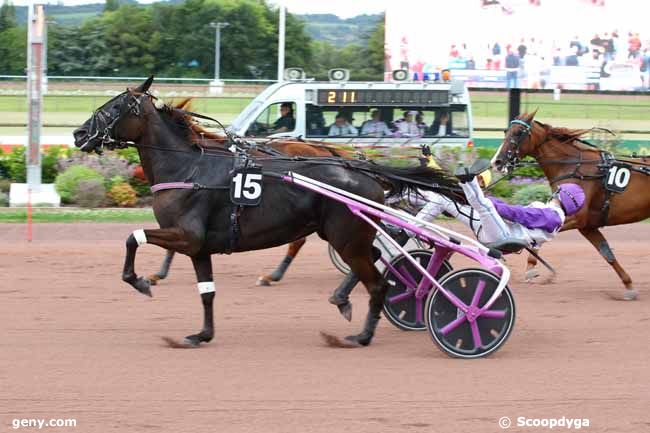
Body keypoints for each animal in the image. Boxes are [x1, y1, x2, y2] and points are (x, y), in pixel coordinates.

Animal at [494, 110, 644, 300]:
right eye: (506, 131)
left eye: (519, 132)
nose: (497, 161)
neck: (573, 166)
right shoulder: (587, 226)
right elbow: (607, 253)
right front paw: (629, 285)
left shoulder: (576, 218)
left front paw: (531, 268)